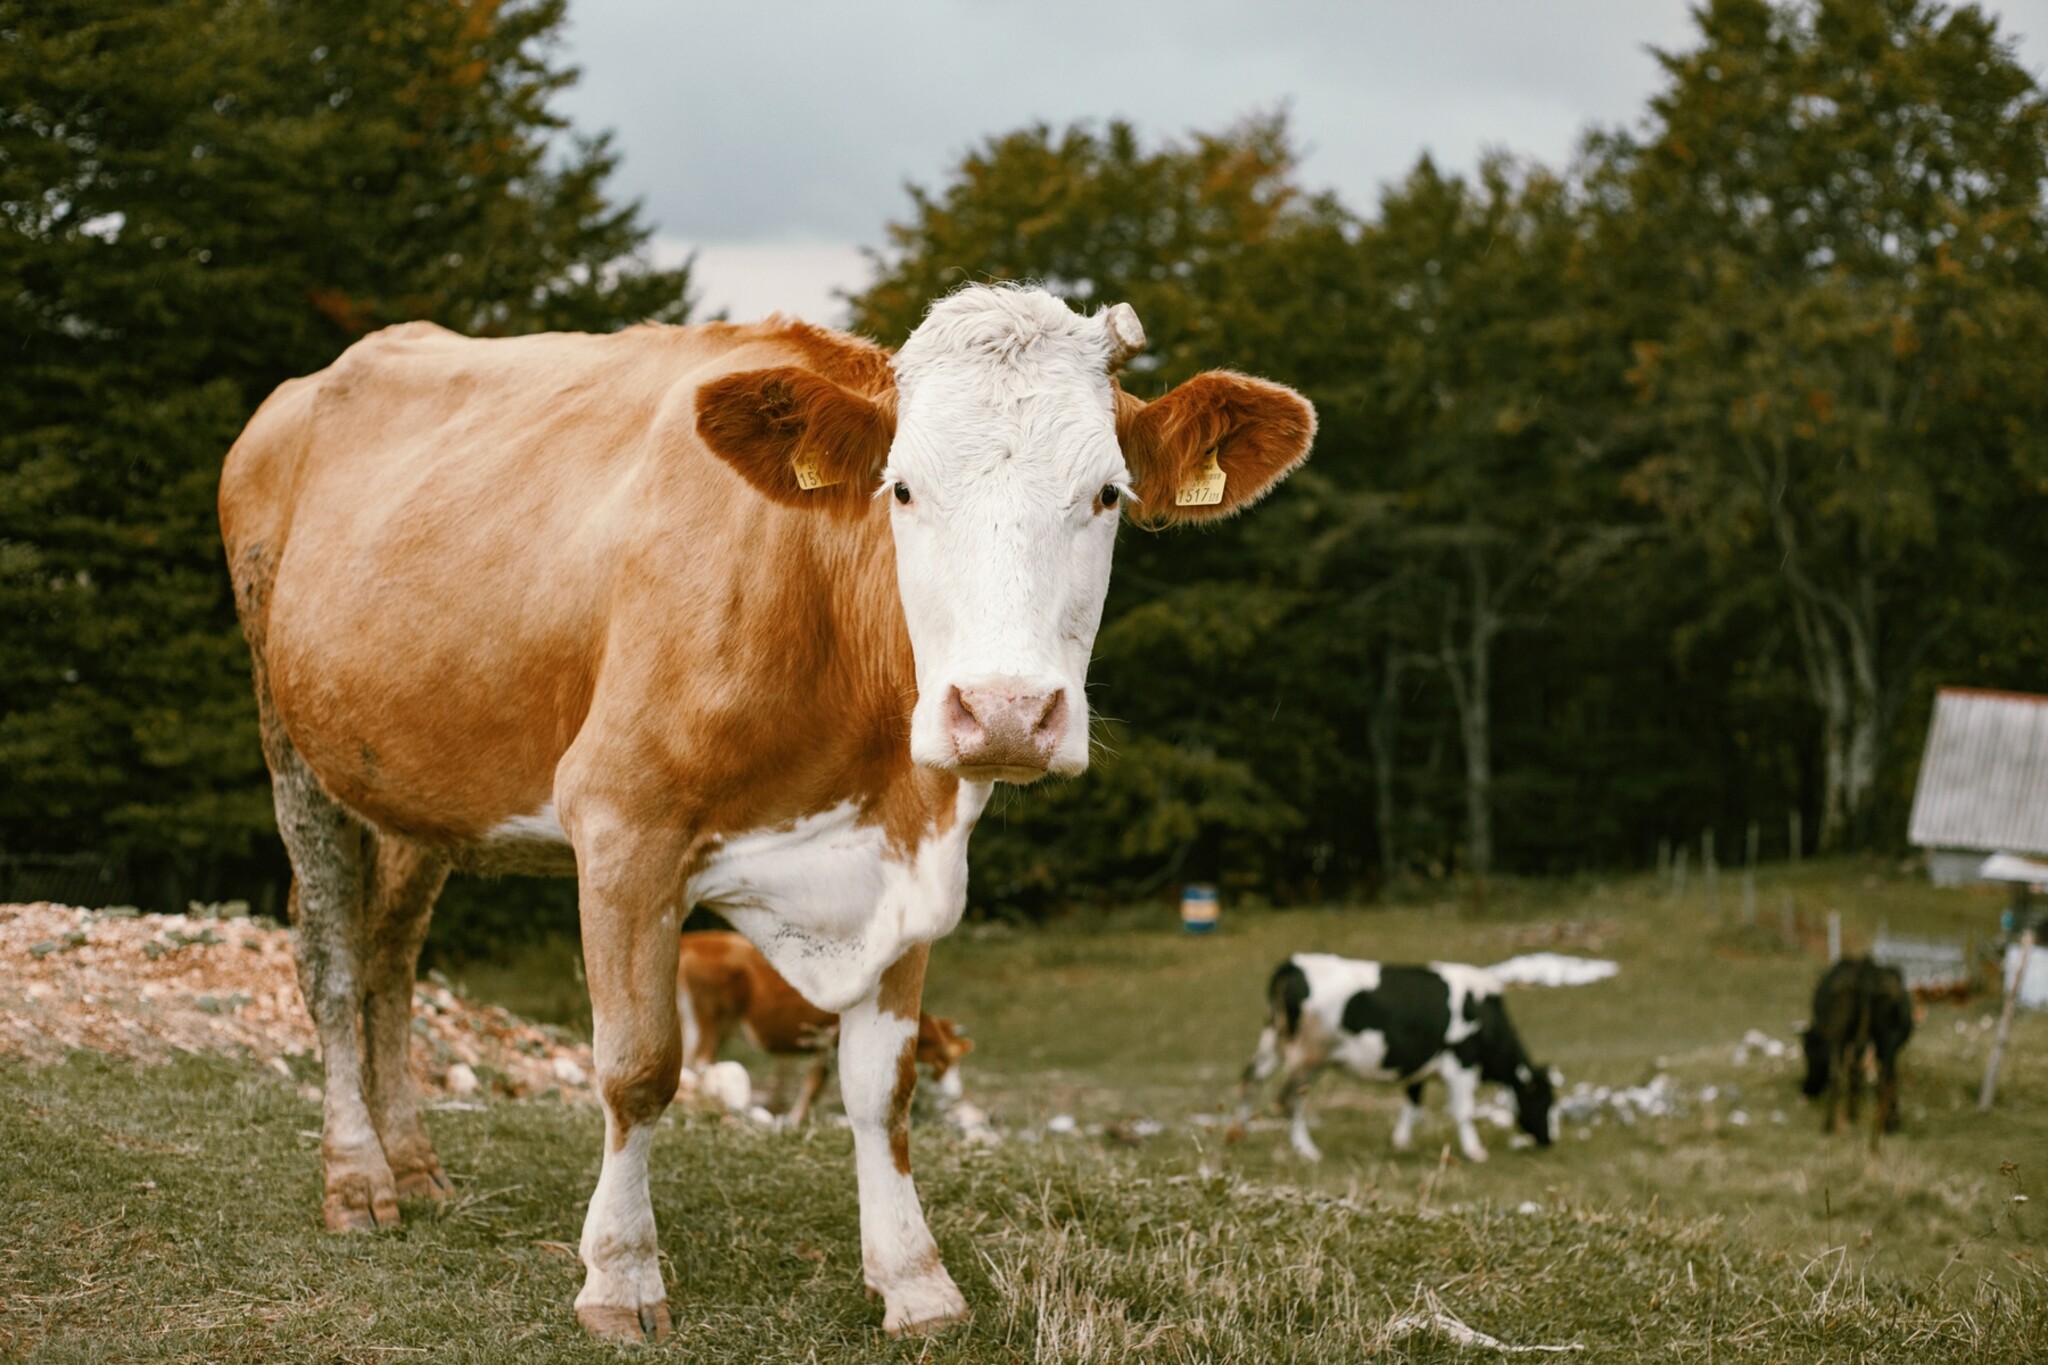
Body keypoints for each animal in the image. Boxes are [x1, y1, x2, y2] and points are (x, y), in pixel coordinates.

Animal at [675, 929, 970, 1129]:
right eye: (944, 1058)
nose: (956, 1093)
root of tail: (691, 940)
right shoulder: (830, 1041)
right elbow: (815, 1085)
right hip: (710, 1023)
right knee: (700, 1065)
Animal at [1236, 949, 1556, 1162]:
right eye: (1544, 1101)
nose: (1550, 1140)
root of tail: (1293, 964)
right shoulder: (1461, 1061)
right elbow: (1463, 1110)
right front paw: (1475, 1151)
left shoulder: (1420, 1067)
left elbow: (1413, 1105)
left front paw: (1401, 1141)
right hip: (1308, 1055)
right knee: (1289, 1098)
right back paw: (1307, 1150)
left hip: (1273, 1041)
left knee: (1250, 1080)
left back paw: (1237, 1133)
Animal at [1802, 961, 1908, 1154]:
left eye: (1807, 1051)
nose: (1808, 1089)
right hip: (1878, 1039)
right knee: (1880, 1082)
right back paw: (1872, 1141)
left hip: (1846, 1035)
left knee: (1841, 1074)